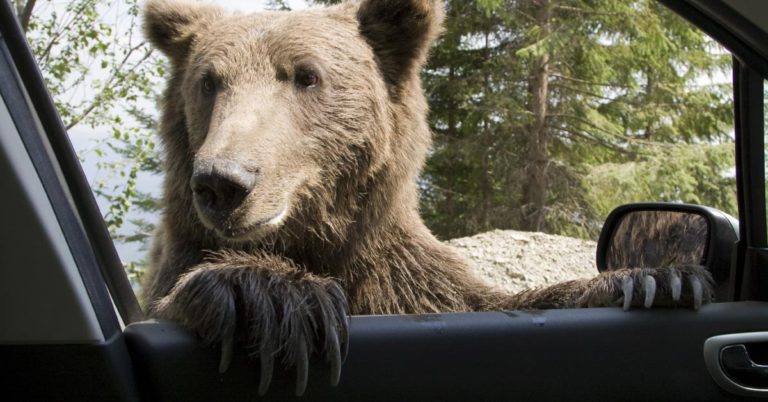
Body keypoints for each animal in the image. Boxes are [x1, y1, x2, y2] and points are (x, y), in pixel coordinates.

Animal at [141, 0, 715, 396]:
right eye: (209, 81)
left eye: (306, 75)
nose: (224, 181)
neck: (315, 239)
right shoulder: (182, 259)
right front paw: (272, 296)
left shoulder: (403, 279)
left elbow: (491, 301)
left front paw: (653, 278)